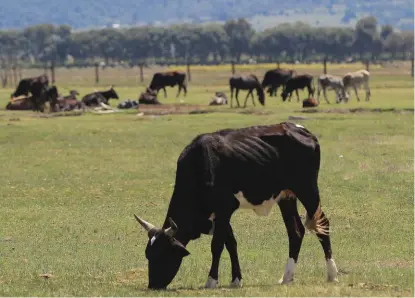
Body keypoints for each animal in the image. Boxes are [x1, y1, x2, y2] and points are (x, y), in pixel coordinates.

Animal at [135, 121, 340, 288]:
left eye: (163, 254)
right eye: (148, 254)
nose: (153, 285)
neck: (201, 165)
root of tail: (302, 130)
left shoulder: (224, 209)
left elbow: (217, 245)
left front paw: (211, 280)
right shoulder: (219, 215)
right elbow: (231, 243)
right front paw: (236, 279)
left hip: (308, 190)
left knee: (323, 225)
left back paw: (332, 274)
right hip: (286, 197)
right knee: (295, 231)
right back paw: (287, 277)